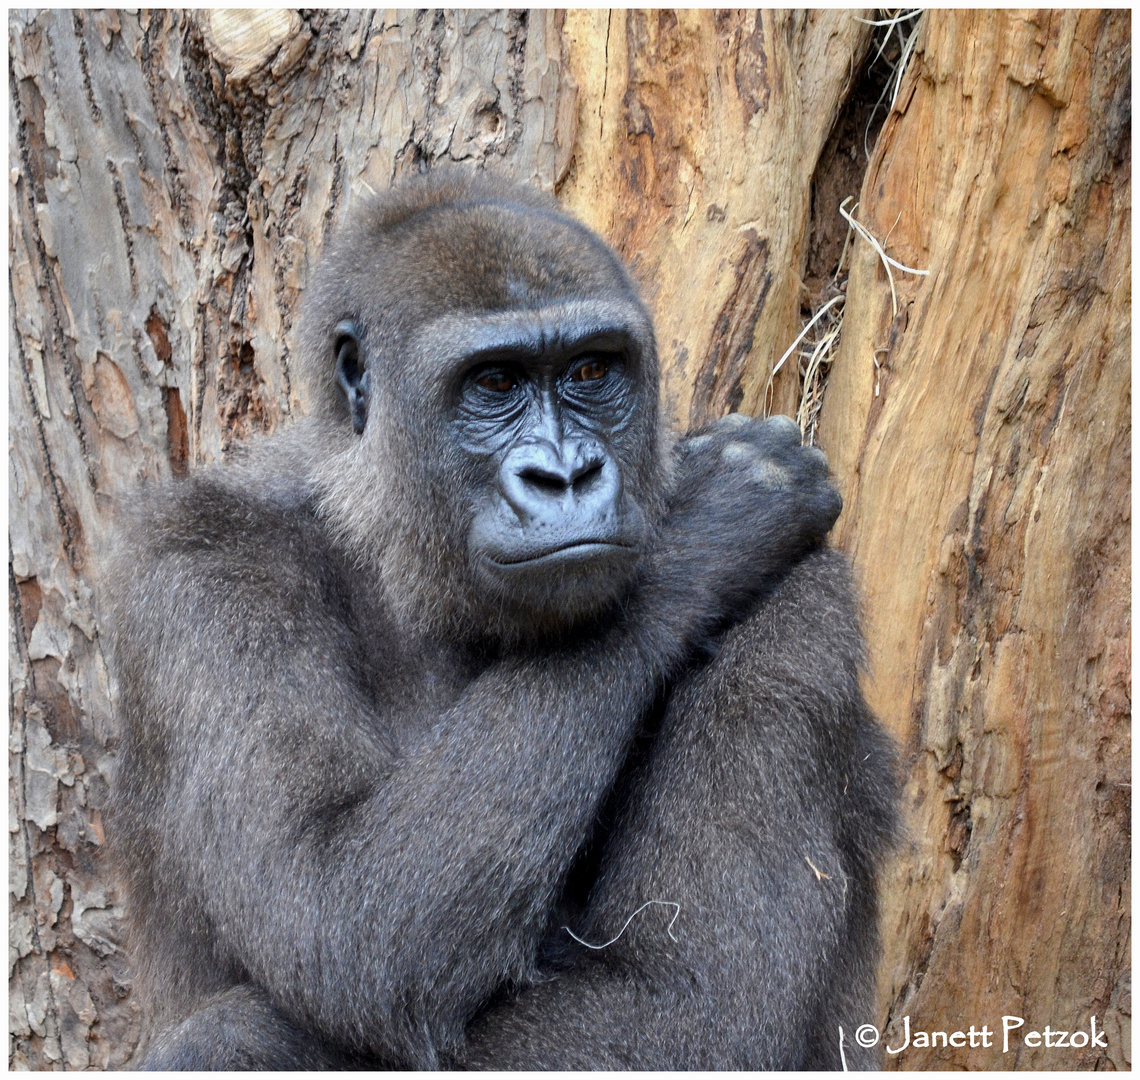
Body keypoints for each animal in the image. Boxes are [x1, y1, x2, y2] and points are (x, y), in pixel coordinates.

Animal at [113, 173, 898, 1067]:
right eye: (494, 384)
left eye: (591, 369)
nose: (566, 475)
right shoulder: (202, 569)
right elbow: (328, 903)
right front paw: (714, 520)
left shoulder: (800, 595)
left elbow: (686, 997)